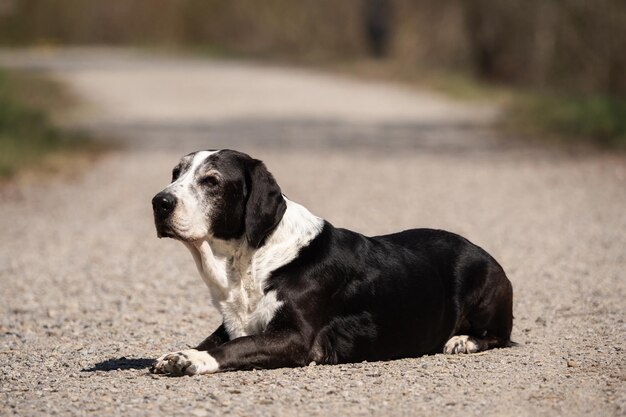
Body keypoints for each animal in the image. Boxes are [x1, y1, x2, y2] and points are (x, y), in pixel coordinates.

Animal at [151, 150, 512, 376]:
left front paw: (193, 358)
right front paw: (178, 353)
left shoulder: (296, 339)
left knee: (499, 336)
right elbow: (221, 338)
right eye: (175, 173)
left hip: (486, 288)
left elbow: (237, 346)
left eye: (211, 181)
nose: (159, 202)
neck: (253, 258)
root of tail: (482, 250)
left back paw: (463, 340)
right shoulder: (232, 322)